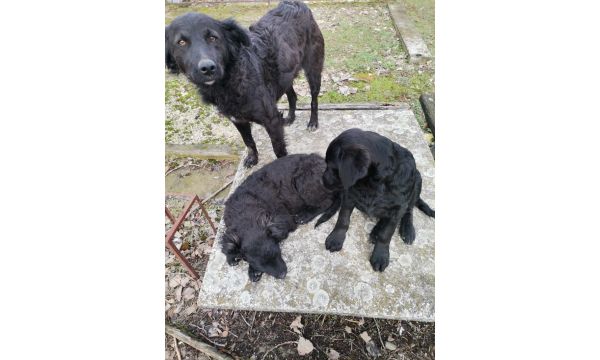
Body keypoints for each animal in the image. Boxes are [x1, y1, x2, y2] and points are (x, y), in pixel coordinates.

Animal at [164, 0, 326, 168]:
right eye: (181, 42)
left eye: (213, 38)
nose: (208, 68)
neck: (231, 81)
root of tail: (296, 4)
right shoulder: (238, 120)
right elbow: (248, 142)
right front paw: (252, 158)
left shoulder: (272, 120)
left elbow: (278, 149)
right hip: (285, 75)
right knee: (292, 96)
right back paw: (290, 118)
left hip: (313, 69)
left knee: (314, 99)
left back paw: (313, 122)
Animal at [221, 153, 342, 282]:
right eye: (260, 264)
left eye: (276, 252)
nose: (283, 275)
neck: (246, 213)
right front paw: (233, 257)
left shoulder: (284, 220)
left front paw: (252, 271)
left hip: (304, 182)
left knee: (326, 202)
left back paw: (304, 215)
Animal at [316, 128, 434, 272]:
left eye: (333, 168)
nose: (321, 181)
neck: (371, 183)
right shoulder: (349, 196)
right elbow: (342, 220)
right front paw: (336, 238)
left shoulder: (397, 208)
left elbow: (386, 234)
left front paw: (380, 256)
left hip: (417, 180)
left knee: (408, 210)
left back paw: (406, 230)